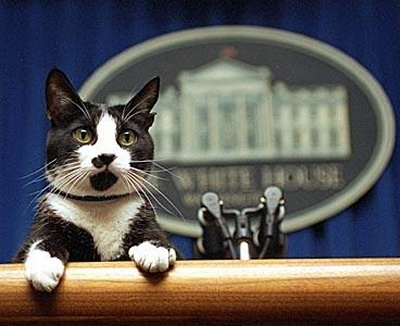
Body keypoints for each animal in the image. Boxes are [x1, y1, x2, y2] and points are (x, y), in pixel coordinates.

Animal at [13, 69, 176, 292]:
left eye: (127, 137)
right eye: (83, 134)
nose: (106, 156)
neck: (99, 205)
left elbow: (155, 236)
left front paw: (155, 249)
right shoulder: (47, 220)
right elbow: (42, 239)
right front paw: (44, 264)